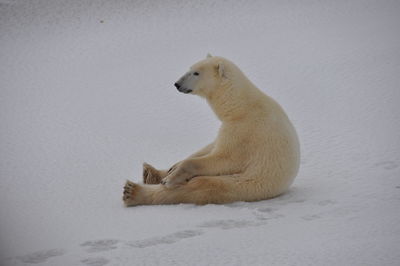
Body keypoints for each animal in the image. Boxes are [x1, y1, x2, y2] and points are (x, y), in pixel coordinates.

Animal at [122, 55, 300, 207]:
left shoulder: (245, 130)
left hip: (246, 184)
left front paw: (171, 178)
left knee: (202, 186)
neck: (240, 106)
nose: (177, 84)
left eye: (196, 73)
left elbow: (225, 158)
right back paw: (150, 173)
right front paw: (172, 169)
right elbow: (210, 147)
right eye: (190, 68)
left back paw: (133, 192)